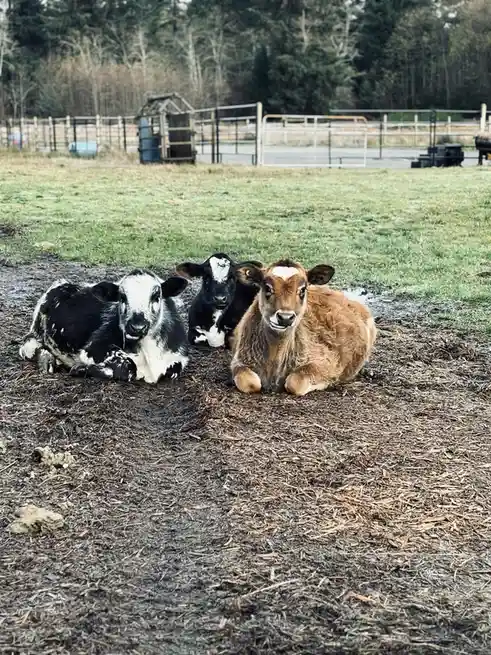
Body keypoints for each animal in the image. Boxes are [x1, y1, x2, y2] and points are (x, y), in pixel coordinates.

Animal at [19, 269, 189, 383]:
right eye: (122, 297)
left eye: (156, 296)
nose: (137, 327)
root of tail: (64, 282)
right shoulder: (94, 347)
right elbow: (127, 366)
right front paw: (81, 369)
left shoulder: (179, 359)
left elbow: (172, 370)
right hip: (36, 331)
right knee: (28, 346)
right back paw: (46, 360)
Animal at [230, 259, 377, 396]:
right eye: (267, 287)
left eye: (302, 290)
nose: (285, 317)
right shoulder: (239, 361)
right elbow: (250, 383)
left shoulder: (325, 363)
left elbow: (295, 382)